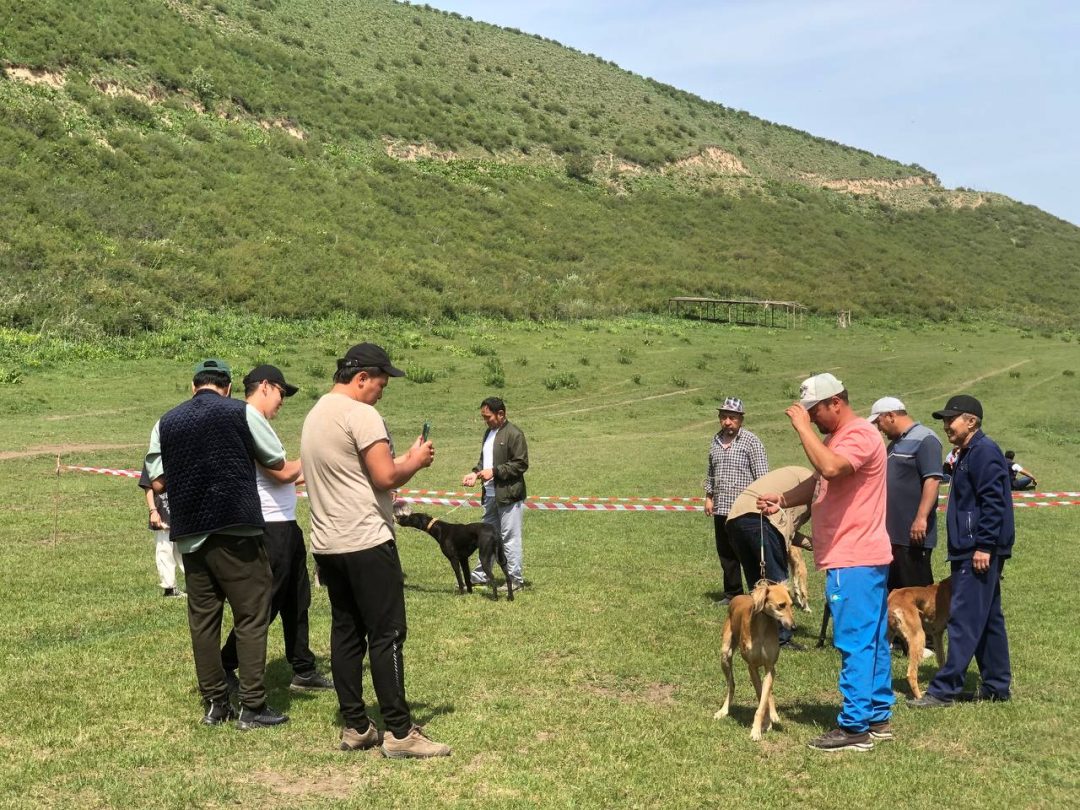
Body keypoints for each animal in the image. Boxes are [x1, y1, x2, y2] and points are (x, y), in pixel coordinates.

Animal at [712, 583, 799, 743]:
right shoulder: (752, 667)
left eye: (791, 604)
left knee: (768, 691)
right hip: (725, 655)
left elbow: (764, 697)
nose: (794, 627)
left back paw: (774, 715)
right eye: (781, 605)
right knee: (731, 685)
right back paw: (723, 711)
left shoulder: (770, 667)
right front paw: (763, 725)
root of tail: (739, 596)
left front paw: (763, 725)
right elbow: (760, 696)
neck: (763, 626)